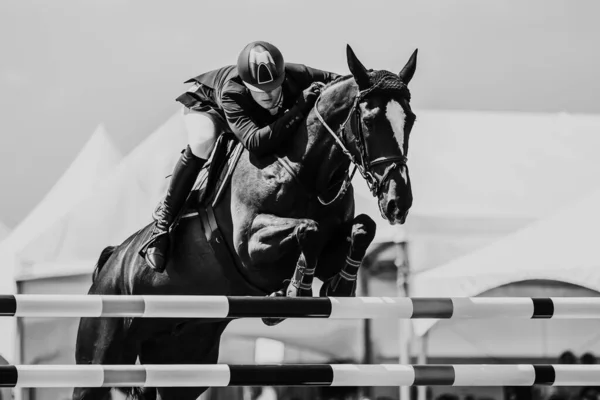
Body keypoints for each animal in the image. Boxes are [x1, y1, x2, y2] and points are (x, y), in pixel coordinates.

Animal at [74, 43, 418, 400]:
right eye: (370, 120)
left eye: (410, 120)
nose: (398, 202)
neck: (307, 173)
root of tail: (110, 263)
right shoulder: (250, 248)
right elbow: (309, 228)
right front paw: (296, 288)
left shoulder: (333, 244)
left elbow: (363, 228)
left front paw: (341, 284)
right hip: (100, 356)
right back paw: (158, 243)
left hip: (184, 362)